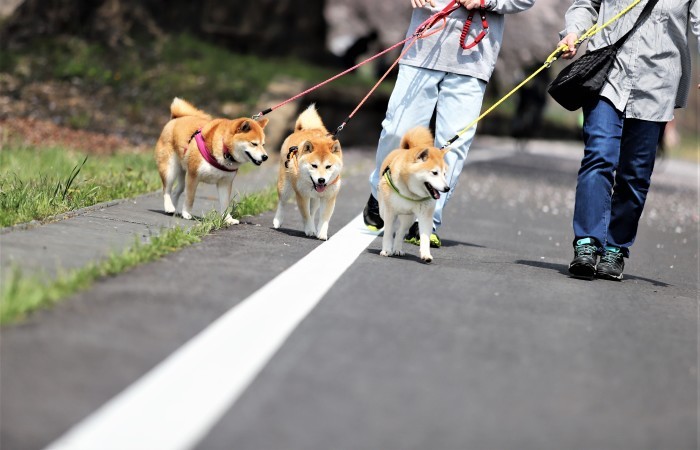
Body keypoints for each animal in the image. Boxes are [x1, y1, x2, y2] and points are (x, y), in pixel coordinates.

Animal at [270, 105, 342, 241]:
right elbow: (305, 215)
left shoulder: (329, 197)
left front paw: (321, 233)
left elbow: (324, 218)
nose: (321, 180)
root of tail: (303, 129)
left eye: (328, 166)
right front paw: (310, 230)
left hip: (315, 199)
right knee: (282, 202)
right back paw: (277, 220)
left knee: (312, 211)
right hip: (285, 186)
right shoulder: (302, 195)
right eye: (314, 165)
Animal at [378, 125, 448, 262]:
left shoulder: (425, 215)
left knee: (400, 232)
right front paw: (386, 250)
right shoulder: (390, 212)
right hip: (384, 210)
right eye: (434, 173)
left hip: (409, 218)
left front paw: (426, 254)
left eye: (444, 174)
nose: (447, 188)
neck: (410, 192)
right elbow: (388, 233)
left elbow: (425, 237)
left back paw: (398, 249)